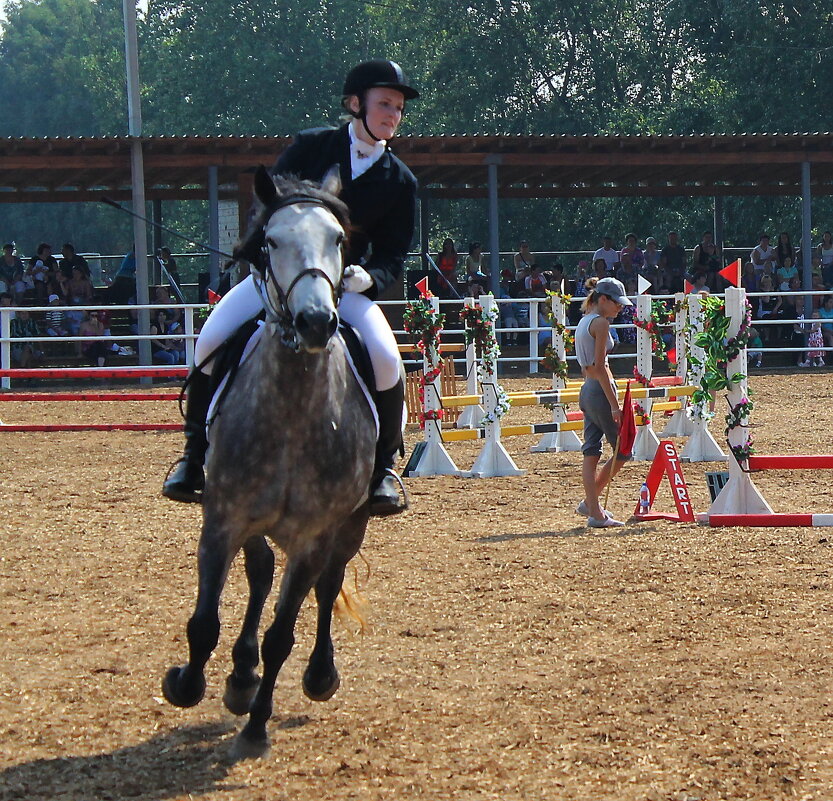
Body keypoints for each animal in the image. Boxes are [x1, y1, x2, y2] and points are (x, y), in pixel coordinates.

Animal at [163, 167, 376, 756]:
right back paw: (239, 675)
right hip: (252, 523)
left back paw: (317, 675)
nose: (316, 322)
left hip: (350, 525)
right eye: (270, 242)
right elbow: (204, 621)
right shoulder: (223, 518)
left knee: (327, 585)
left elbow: (283, 634)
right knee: (259, 574)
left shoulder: (312, 537)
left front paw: (257, 726)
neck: (292, 411)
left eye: (339, 240)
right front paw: (188, 684)